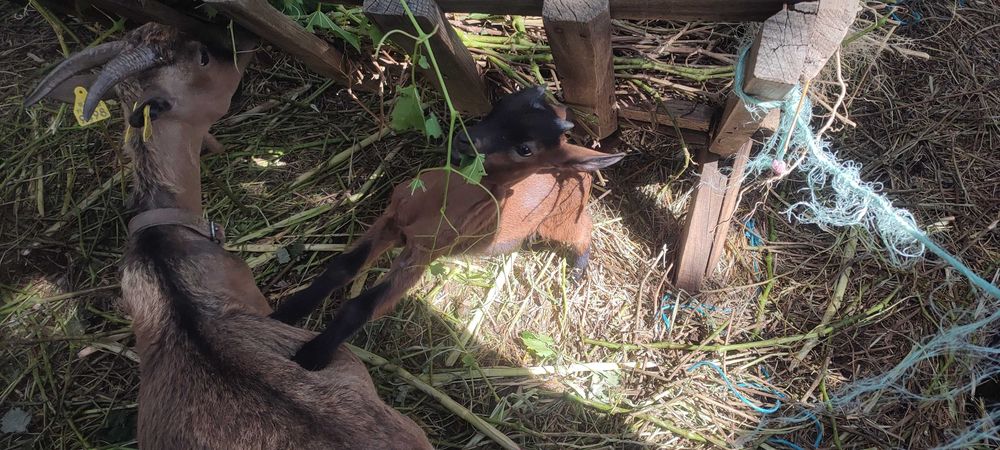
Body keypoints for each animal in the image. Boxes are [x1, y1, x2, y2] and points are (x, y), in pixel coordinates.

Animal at [271, 86, 625, 370]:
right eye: (500, 104)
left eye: (526, 148)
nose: (463, 141)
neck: (433, 206)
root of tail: (580, 171)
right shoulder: (391, 220)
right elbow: (342, 267)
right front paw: (286, 313)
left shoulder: (422, 255)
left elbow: (361, 307)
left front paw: (312, 356)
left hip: (560, 220)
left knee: (584, 232)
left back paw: (577, 273)